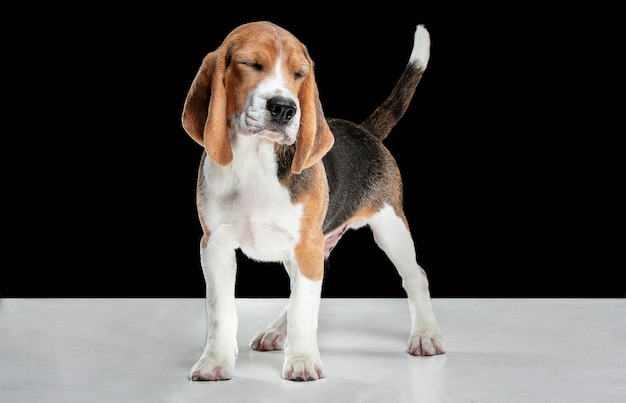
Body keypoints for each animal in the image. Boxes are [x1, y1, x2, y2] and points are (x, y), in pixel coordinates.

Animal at [180, 21, 444, 382]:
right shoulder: (215, 244)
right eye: (251, 64)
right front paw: (215, 362)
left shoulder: (306, 246)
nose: (284, 108)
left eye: (299, 74)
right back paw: (276, 332)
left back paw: (426, 334)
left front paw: (302, 361)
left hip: (388, 226)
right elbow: (220, 309)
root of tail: (365, 131)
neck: (255, 161)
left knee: (416, 276)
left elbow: (304, 310)